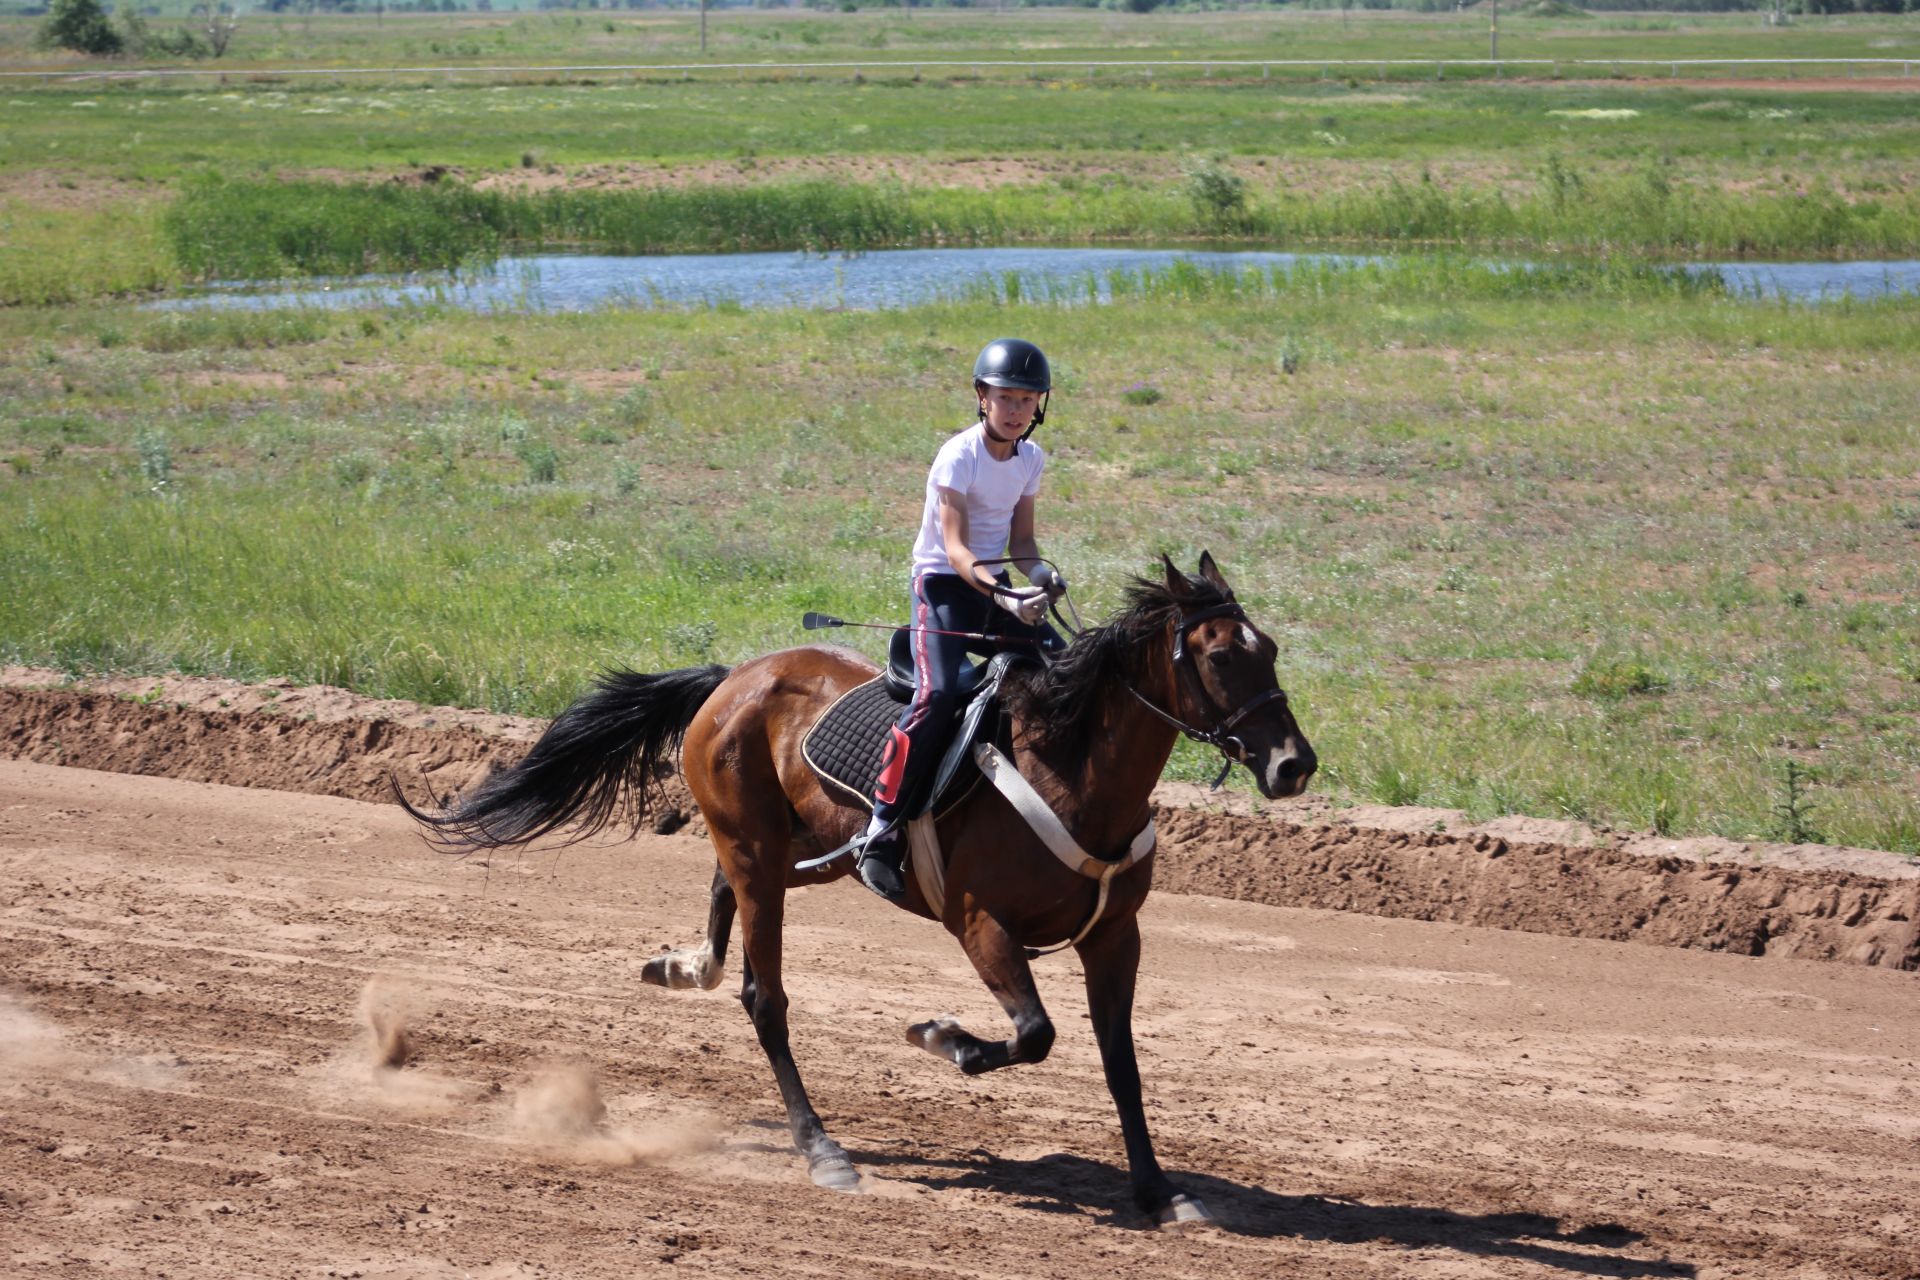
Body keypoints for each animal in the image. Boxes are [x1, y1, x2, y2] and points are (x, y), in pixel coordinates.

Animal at [395, 552, 1313, 1228]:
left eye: (1269, 649)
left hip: (795, 848)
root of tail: (734, 677)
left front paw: (1160, 1191)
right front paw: (943, 1037)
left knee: (726, 909)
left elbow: (1121, 1064)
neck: (1071, 768)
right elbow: (1035, 1035)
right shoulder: (978, 923)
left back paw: (687, 965)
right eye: (1221, 654)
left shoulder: (1116, 935)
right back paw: (822, 1149)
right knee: (765, 999)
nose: (1293, 764)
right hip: (759, 848)